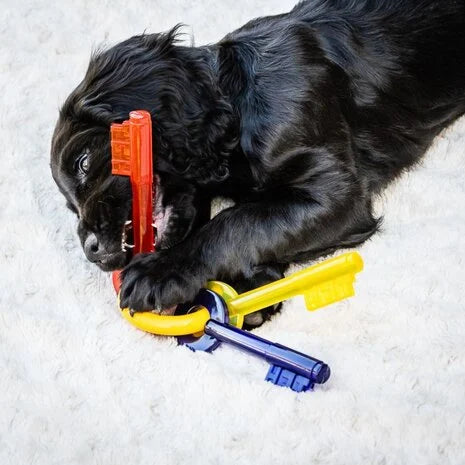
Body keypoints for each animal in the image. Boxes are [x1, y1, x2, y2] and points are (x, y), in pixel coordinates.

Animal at [50, 0, 464, 326]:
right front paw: (251, 288)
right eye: (70, 207)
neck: (239, 104)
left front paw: (163, 272)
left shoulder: (336, 194)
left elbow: (237, 220)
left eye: (84, 162)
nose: (91, 249)